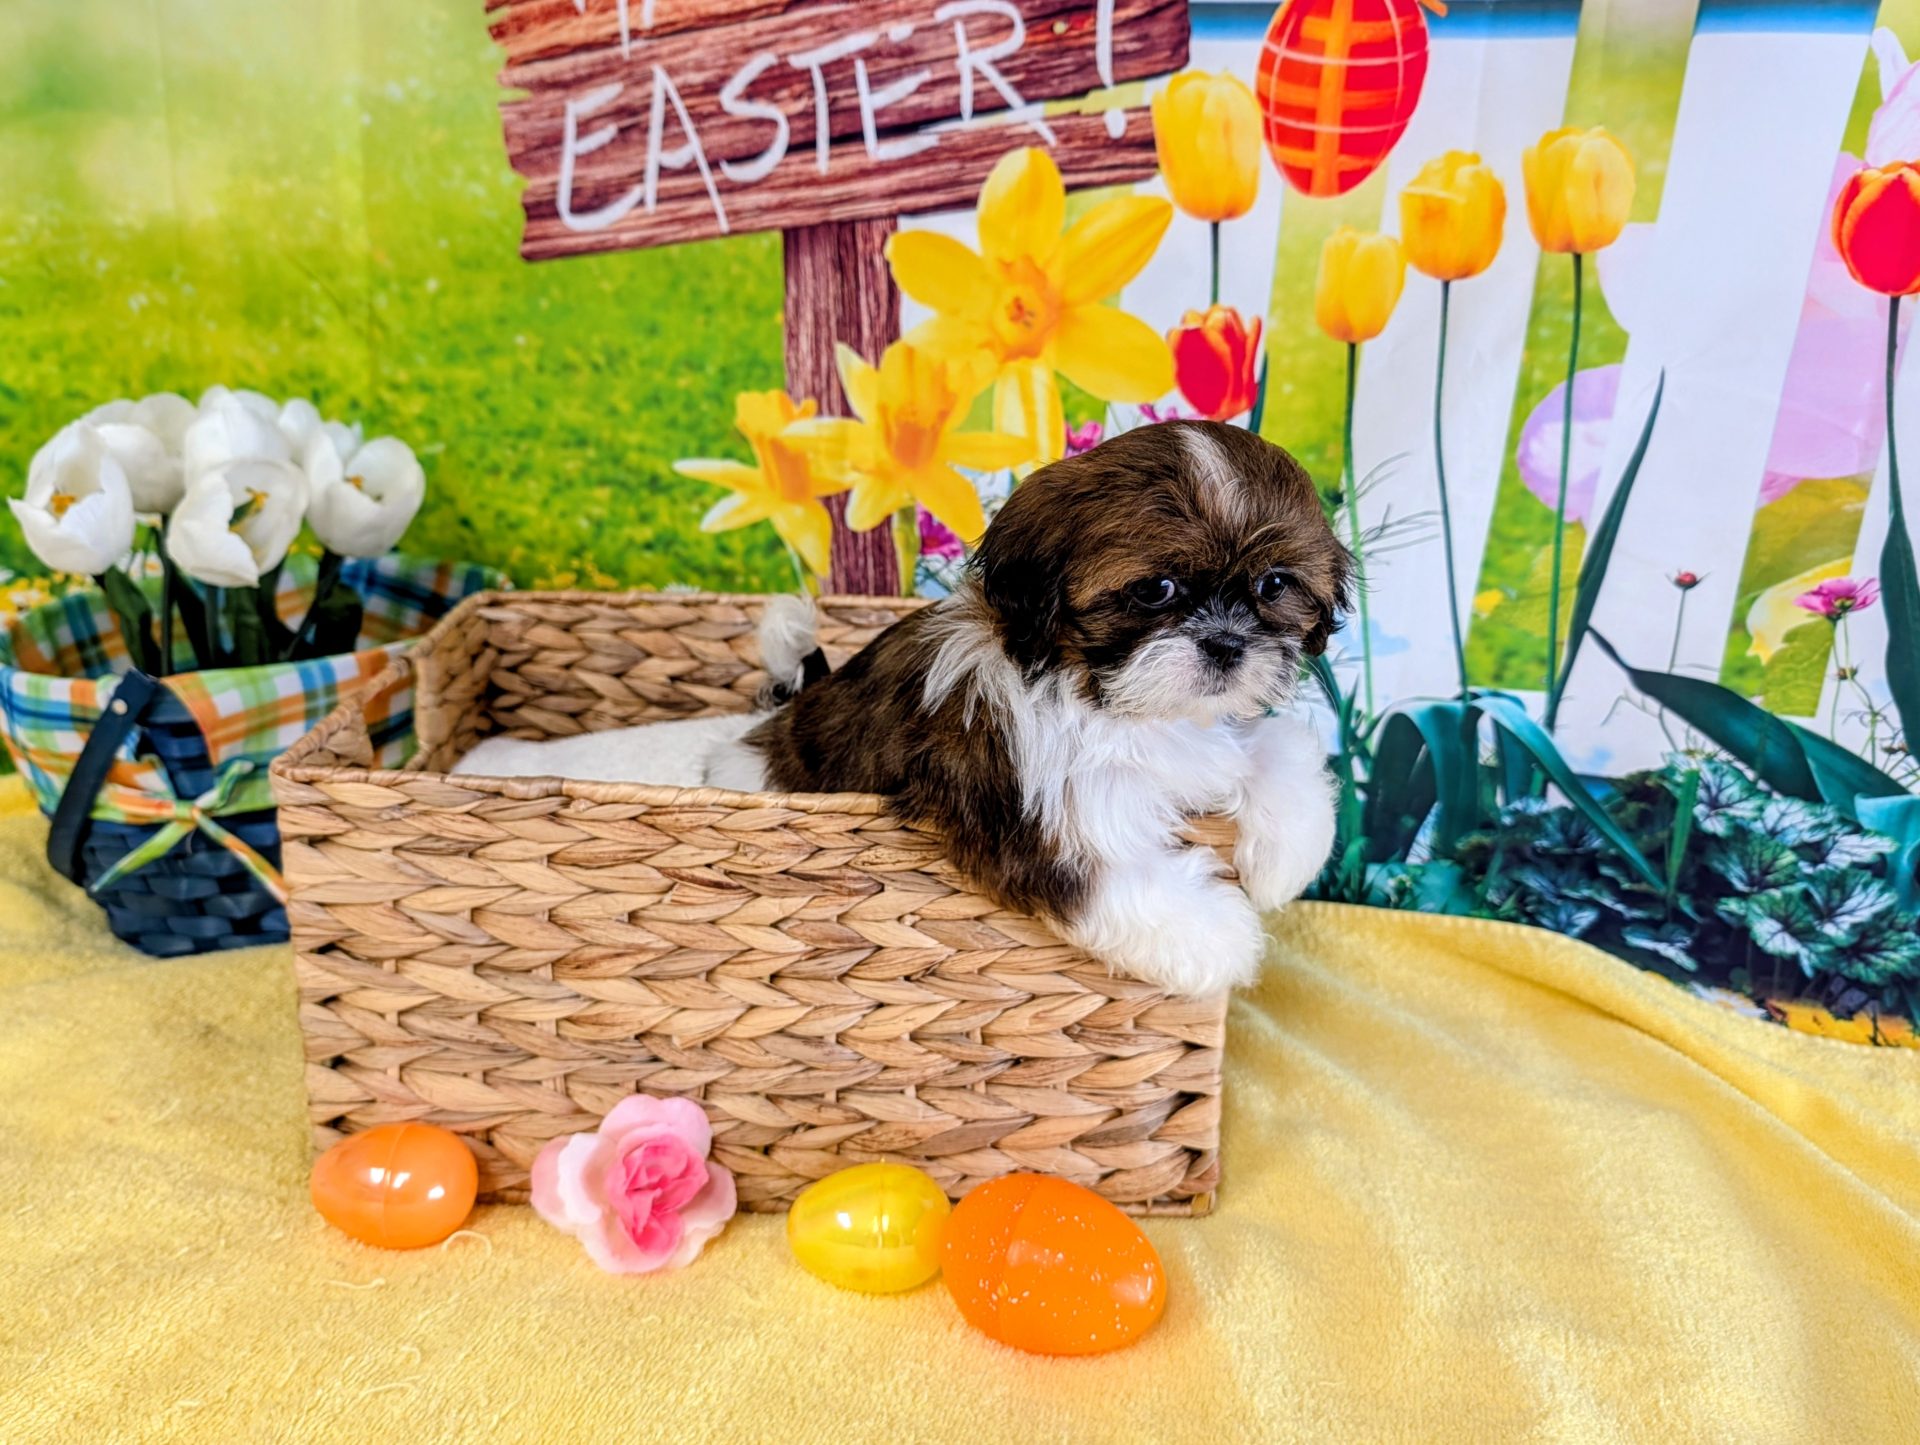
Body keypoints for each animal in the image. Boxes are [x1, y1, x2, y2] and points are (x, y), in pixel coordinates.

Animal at [709, 420, 1353, 997]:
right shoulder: (1025, 809)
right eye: (1155, 590)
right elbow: (1109, 876)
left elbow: (1274, 746)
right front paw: (1222, 939)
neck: (1108, 702)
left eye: (1274, 585)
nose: (1226, 645)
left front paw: (1289, 853)